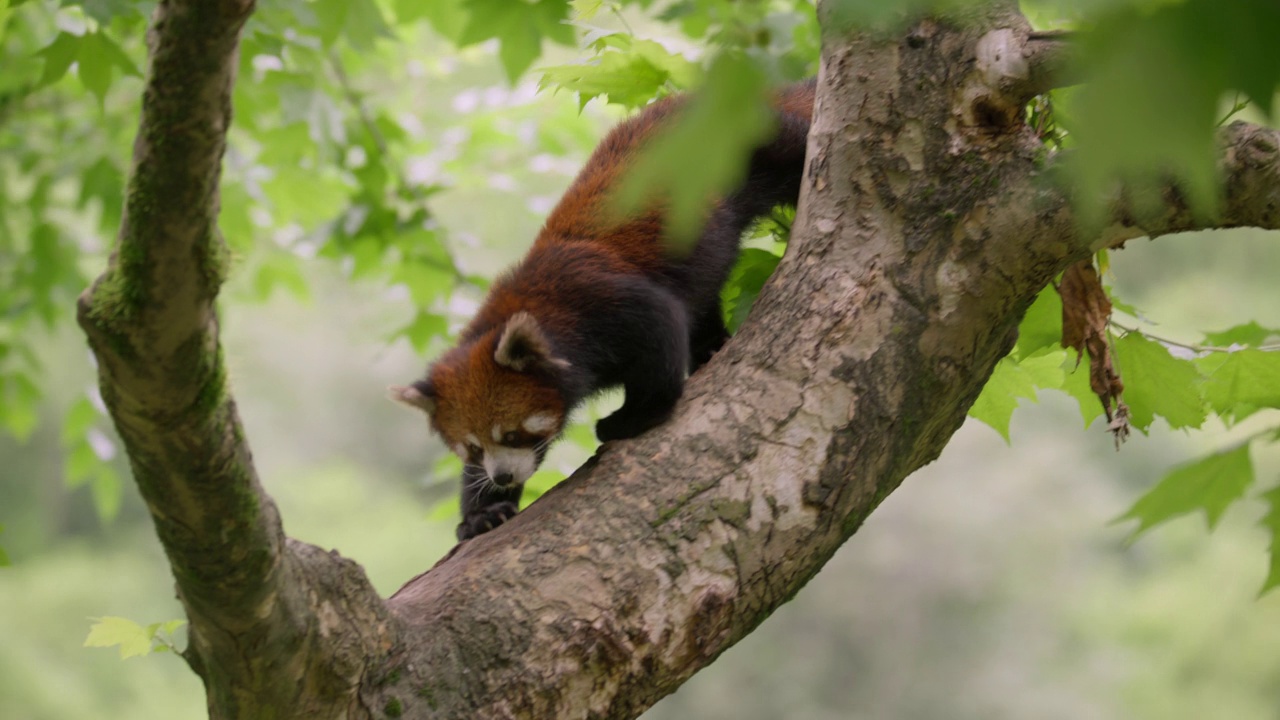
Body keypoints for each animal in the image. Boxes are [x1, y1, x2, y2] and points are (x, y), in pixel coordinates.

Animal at [389, 78, 814, 538]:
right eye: (472, 448)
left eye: (513, 435)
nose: (501, 477)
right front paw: (483, 513)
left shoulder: (604, 304)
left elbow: (661, 326)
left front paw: (635, 417)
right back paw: (711, 346)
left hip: (754, 144)